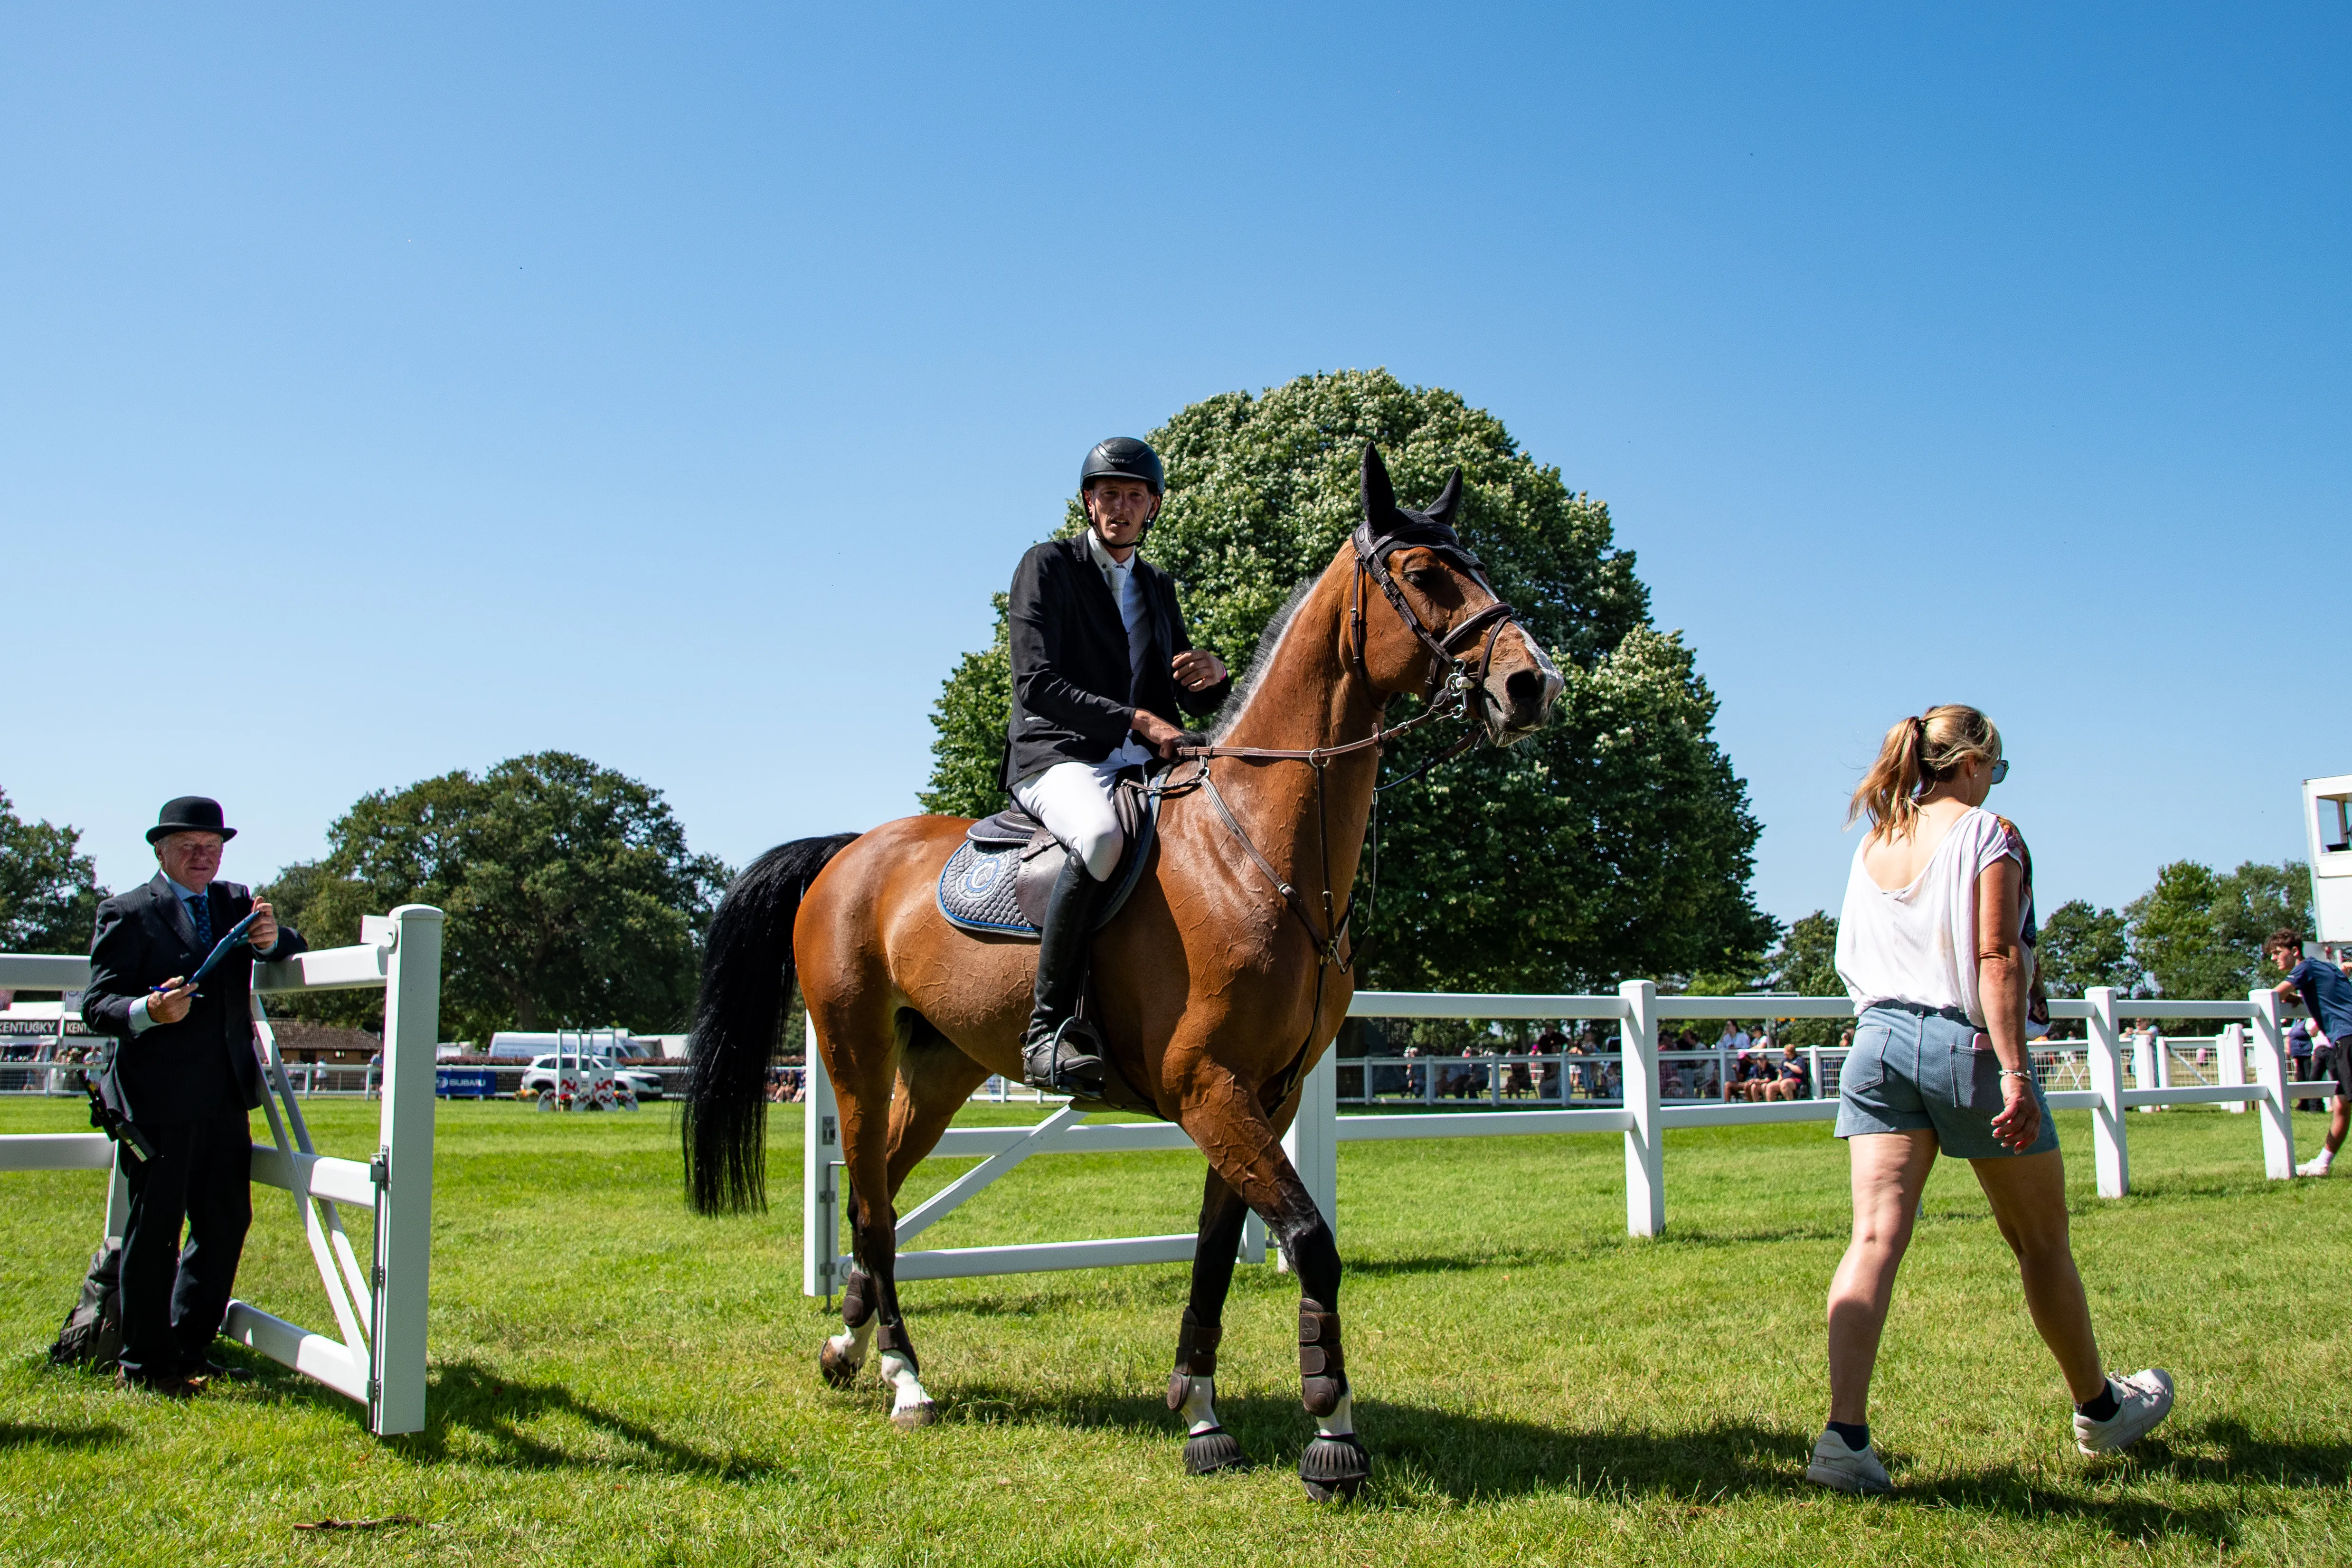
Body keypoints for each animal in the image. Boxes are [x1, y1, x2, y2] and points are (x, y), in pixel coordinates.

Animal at [683, 443, 1564, 1501]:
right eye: (1425, 572)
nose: (1533, 684)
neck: (1252, 851)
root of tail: (851, 850)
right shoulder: (1206, 1085)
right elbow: (1310, 1242)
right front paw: (1330, 1432)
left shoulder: (1260, 1093)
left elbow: (1218, 1253)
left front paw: (1202, 1414)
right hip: (856, 1056)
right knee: (865, 1199)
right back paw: (904, 1378)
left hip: (938, 1067)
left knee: (880, 1202)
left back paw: (850, 1347)